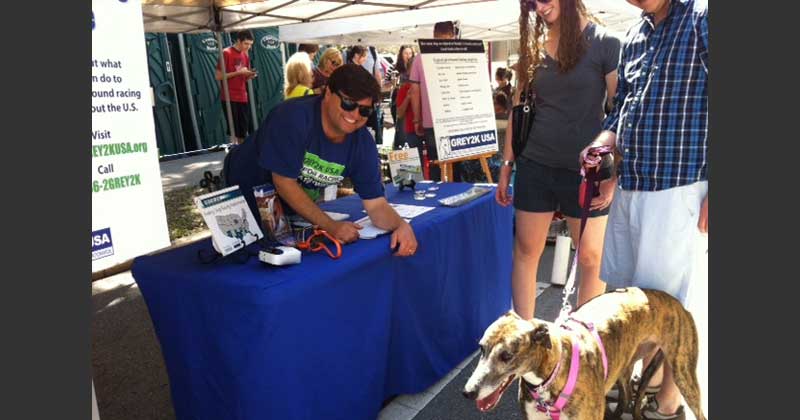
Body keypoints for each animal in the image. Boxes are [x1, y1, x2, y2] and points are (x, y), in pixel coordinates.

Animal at [460, 288, 704, 420]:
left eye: (507, 356)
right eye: (481, 348)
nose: (468, 392)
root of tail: (679, 305)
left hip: (684, 374)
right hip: (623, 365)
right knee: (626, 397)